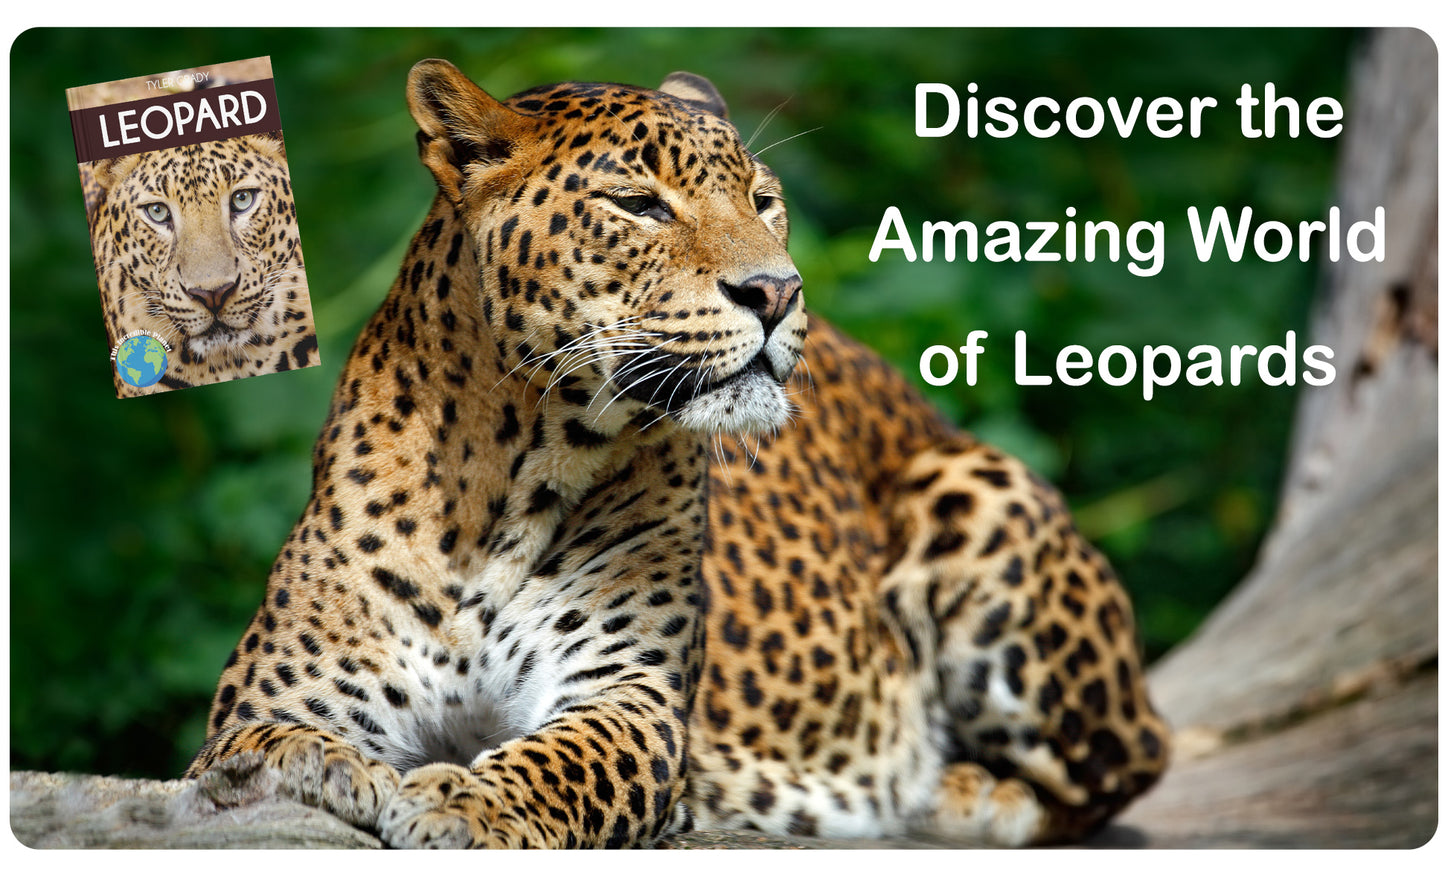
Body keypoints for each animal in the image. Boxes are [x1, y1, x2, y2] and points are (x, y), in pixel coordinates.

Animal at [185, 59, 1169, 848]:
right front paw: (335, 771)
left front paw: (464, 803)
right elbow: (265, 748)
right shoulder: (273, 698)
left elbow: (557, 760)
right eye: (639, 205)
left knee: (1124, 765)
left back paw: (956, 790)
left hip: (977, 488)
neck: (507, 476)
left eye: (762, 200)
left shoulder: (629, 695)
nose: (777, 290)